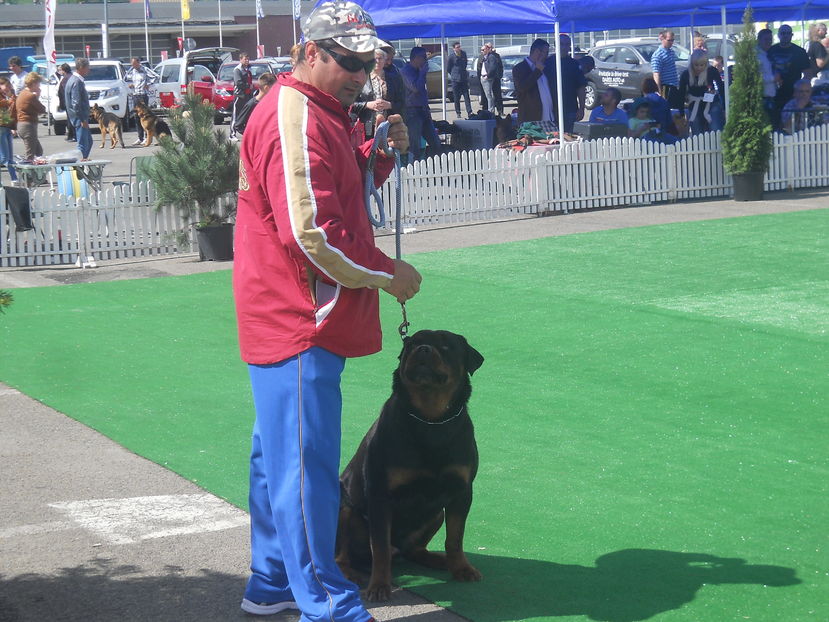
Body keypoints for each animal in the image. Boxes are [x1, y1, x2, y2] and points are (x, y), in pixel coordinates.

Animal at [334, 330, 482, 604]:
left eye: (447, 346)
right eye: (412, 343)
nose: (423, 349)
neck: (431, 419)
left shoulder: (461, 491)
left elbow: (455, 537)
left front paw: (461, 568)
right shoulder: (380, 496)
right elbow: (380, 547)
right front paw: (379, 586)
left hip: (435, 513)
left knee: (413, 548)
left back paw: (436, 559)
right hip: (342, 508)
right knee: (341, 555)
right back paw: (351, 574)